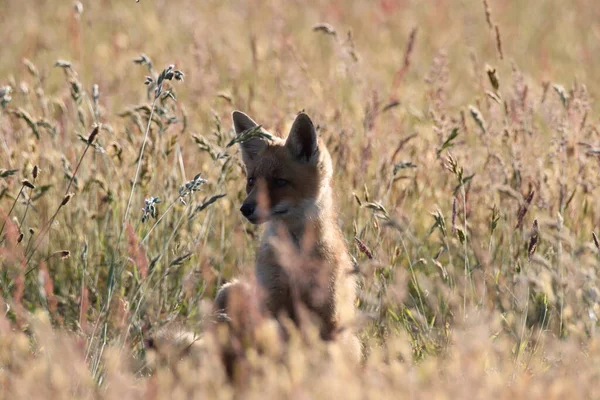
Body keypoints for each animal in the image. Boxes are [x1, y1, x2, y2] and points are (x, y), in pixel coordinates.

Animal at [214, 110, 358, 362]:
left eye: (280, 182)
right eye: (251, 181)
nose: (245, 208)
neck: (296, 258)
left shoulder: (328, 317)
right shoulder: (272, 304)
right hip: (228, 290)